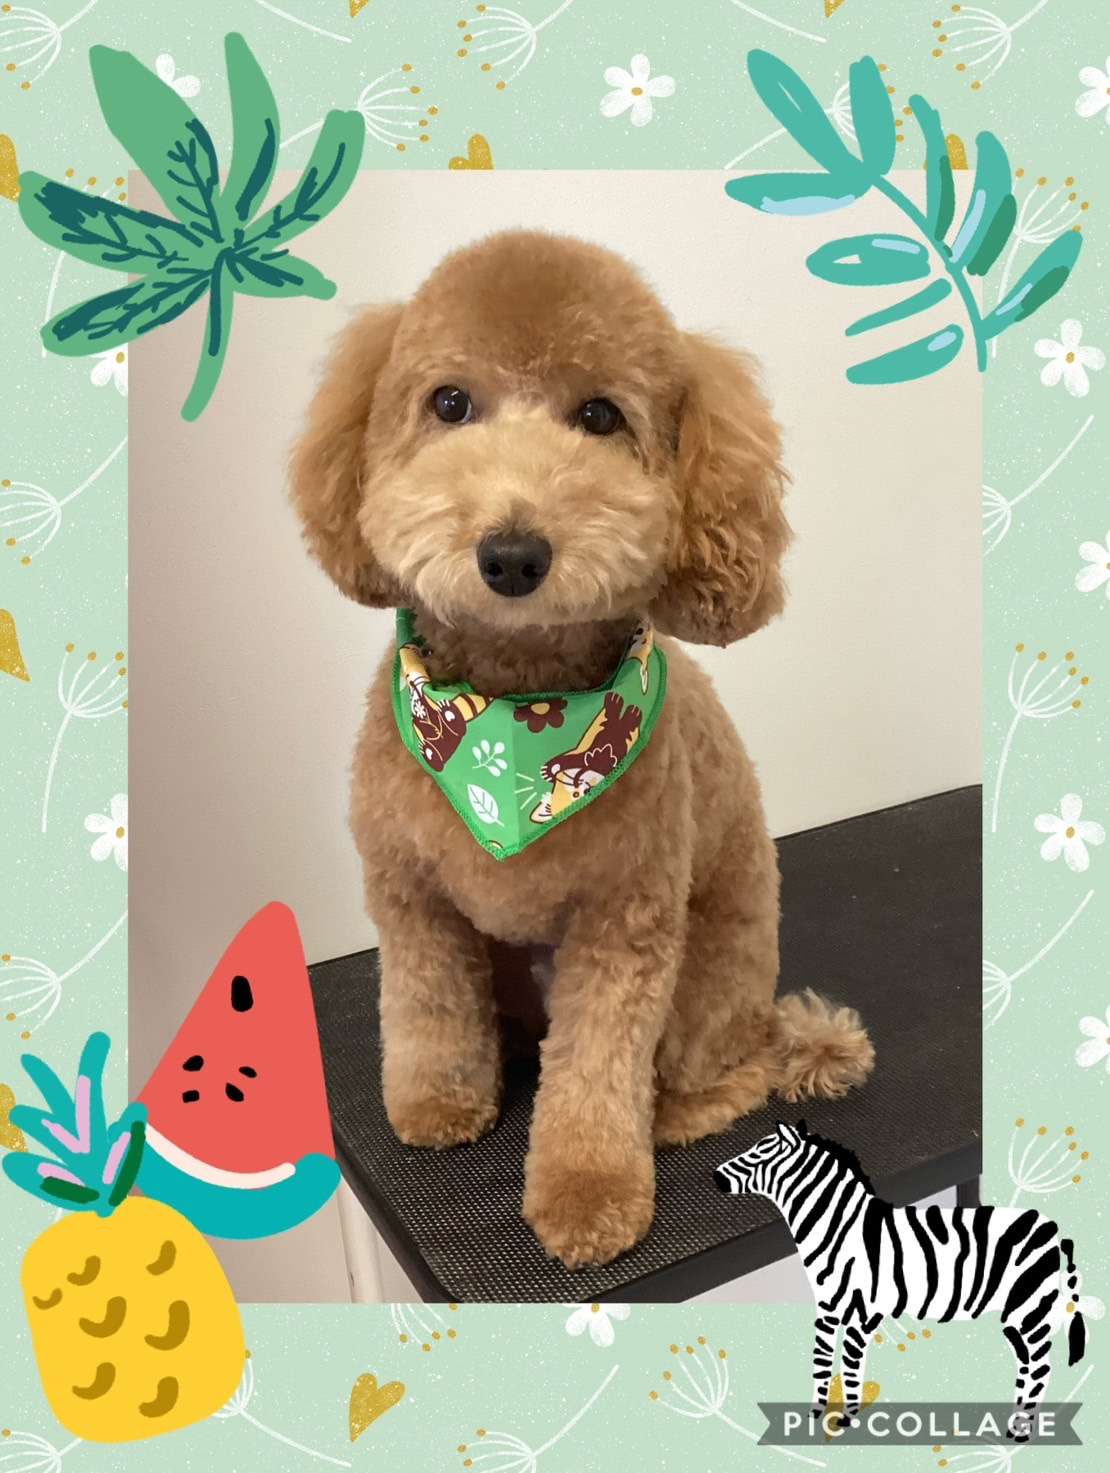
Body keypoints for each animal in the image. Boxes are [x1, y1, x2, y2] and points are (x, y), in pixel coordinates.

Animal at [290, 229, 874, 1269]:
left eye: (600, 415)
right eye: (449, 403)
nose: (512, 554)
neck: (512, 715)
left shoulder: (623, 925)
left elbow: (597, 1068)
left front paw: (590, 1193)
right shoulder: (411, 896)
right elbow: (428, 1010)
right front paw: (439, 1104)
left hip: (709, 982)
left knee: (728, 1071)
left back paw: (676, 1112)